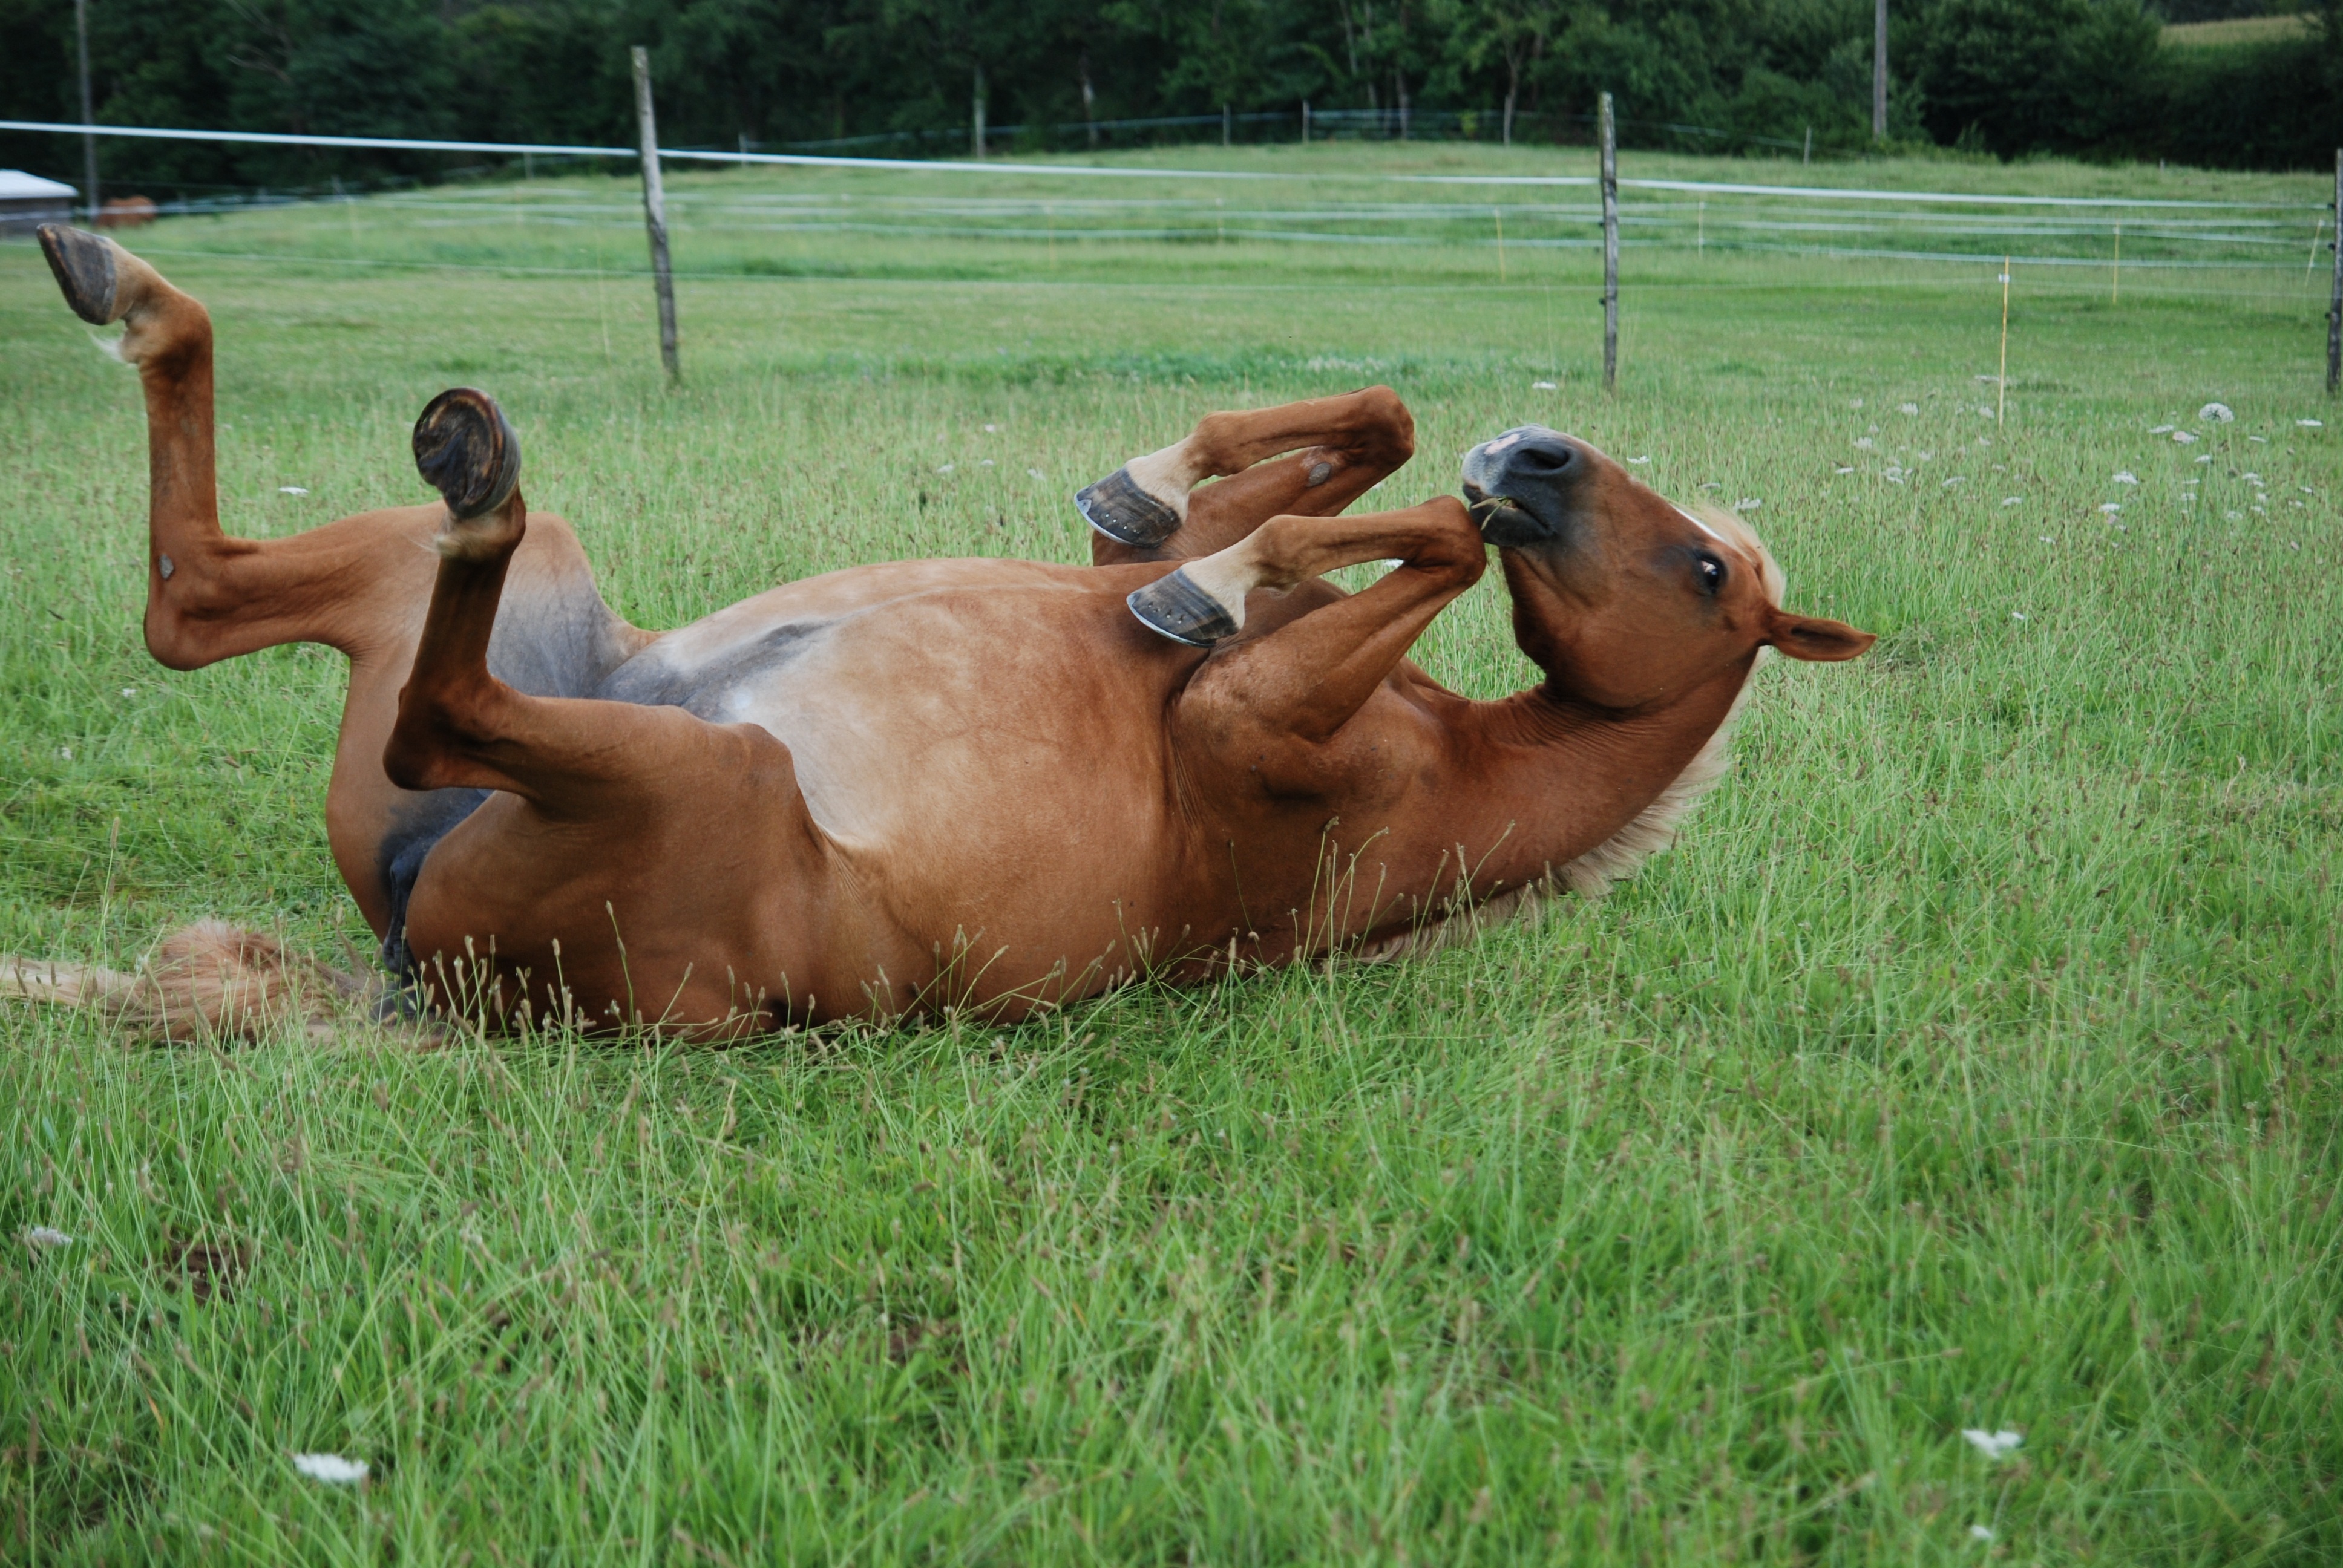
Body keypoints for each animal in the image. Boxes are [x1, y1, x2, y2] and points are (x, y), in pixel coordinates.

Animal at [31, 229, 1865, 1040]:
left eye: (1712, 575)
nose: (1538, 455)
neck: (1453, 771)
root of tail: (409, 965)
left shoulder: (1246, 734)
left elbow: (1421, 543)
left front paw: (1210, 586)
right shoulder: (1199, 594)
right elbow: (1364, 448)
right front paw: (1165, 501)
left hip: (691, 776)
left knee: (419, 690)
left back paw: (454, 461)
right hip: (537, 608)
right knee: (192, 599)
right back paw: (119, 281)